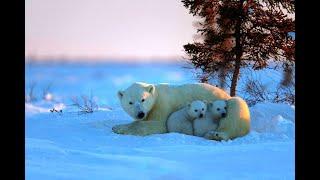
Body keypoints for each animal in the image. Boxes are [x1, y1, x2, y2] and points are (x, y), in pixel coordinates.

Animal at [112, 82, 250, 141]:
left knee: (236, 107)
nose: (140, 113)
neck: (156, 94)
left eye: (143, 99)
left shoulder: (163, 105)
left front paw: (118, 127)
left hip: (227, 104)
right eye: (130, 102)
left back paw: (216, 135)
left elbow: (159, 125)